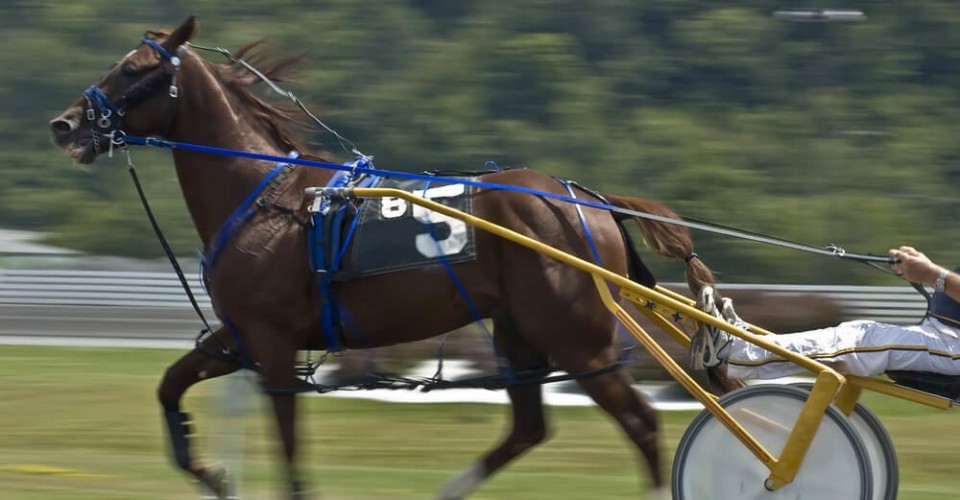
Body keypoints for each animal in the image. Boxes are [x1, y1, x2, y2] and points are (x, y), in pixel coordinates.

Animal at [49, 16, 727, 499]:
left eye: (133, 68)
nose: (65, 124)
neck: (268, 198)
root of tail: (585, 199)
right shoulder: (240, 335)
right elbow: (170, 386)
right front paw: (214, 474)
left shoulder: (271, 342)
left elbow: (290, 452)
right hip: (519, 332)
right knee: (529, 428)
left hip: (575, 337)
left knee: (639, 423)